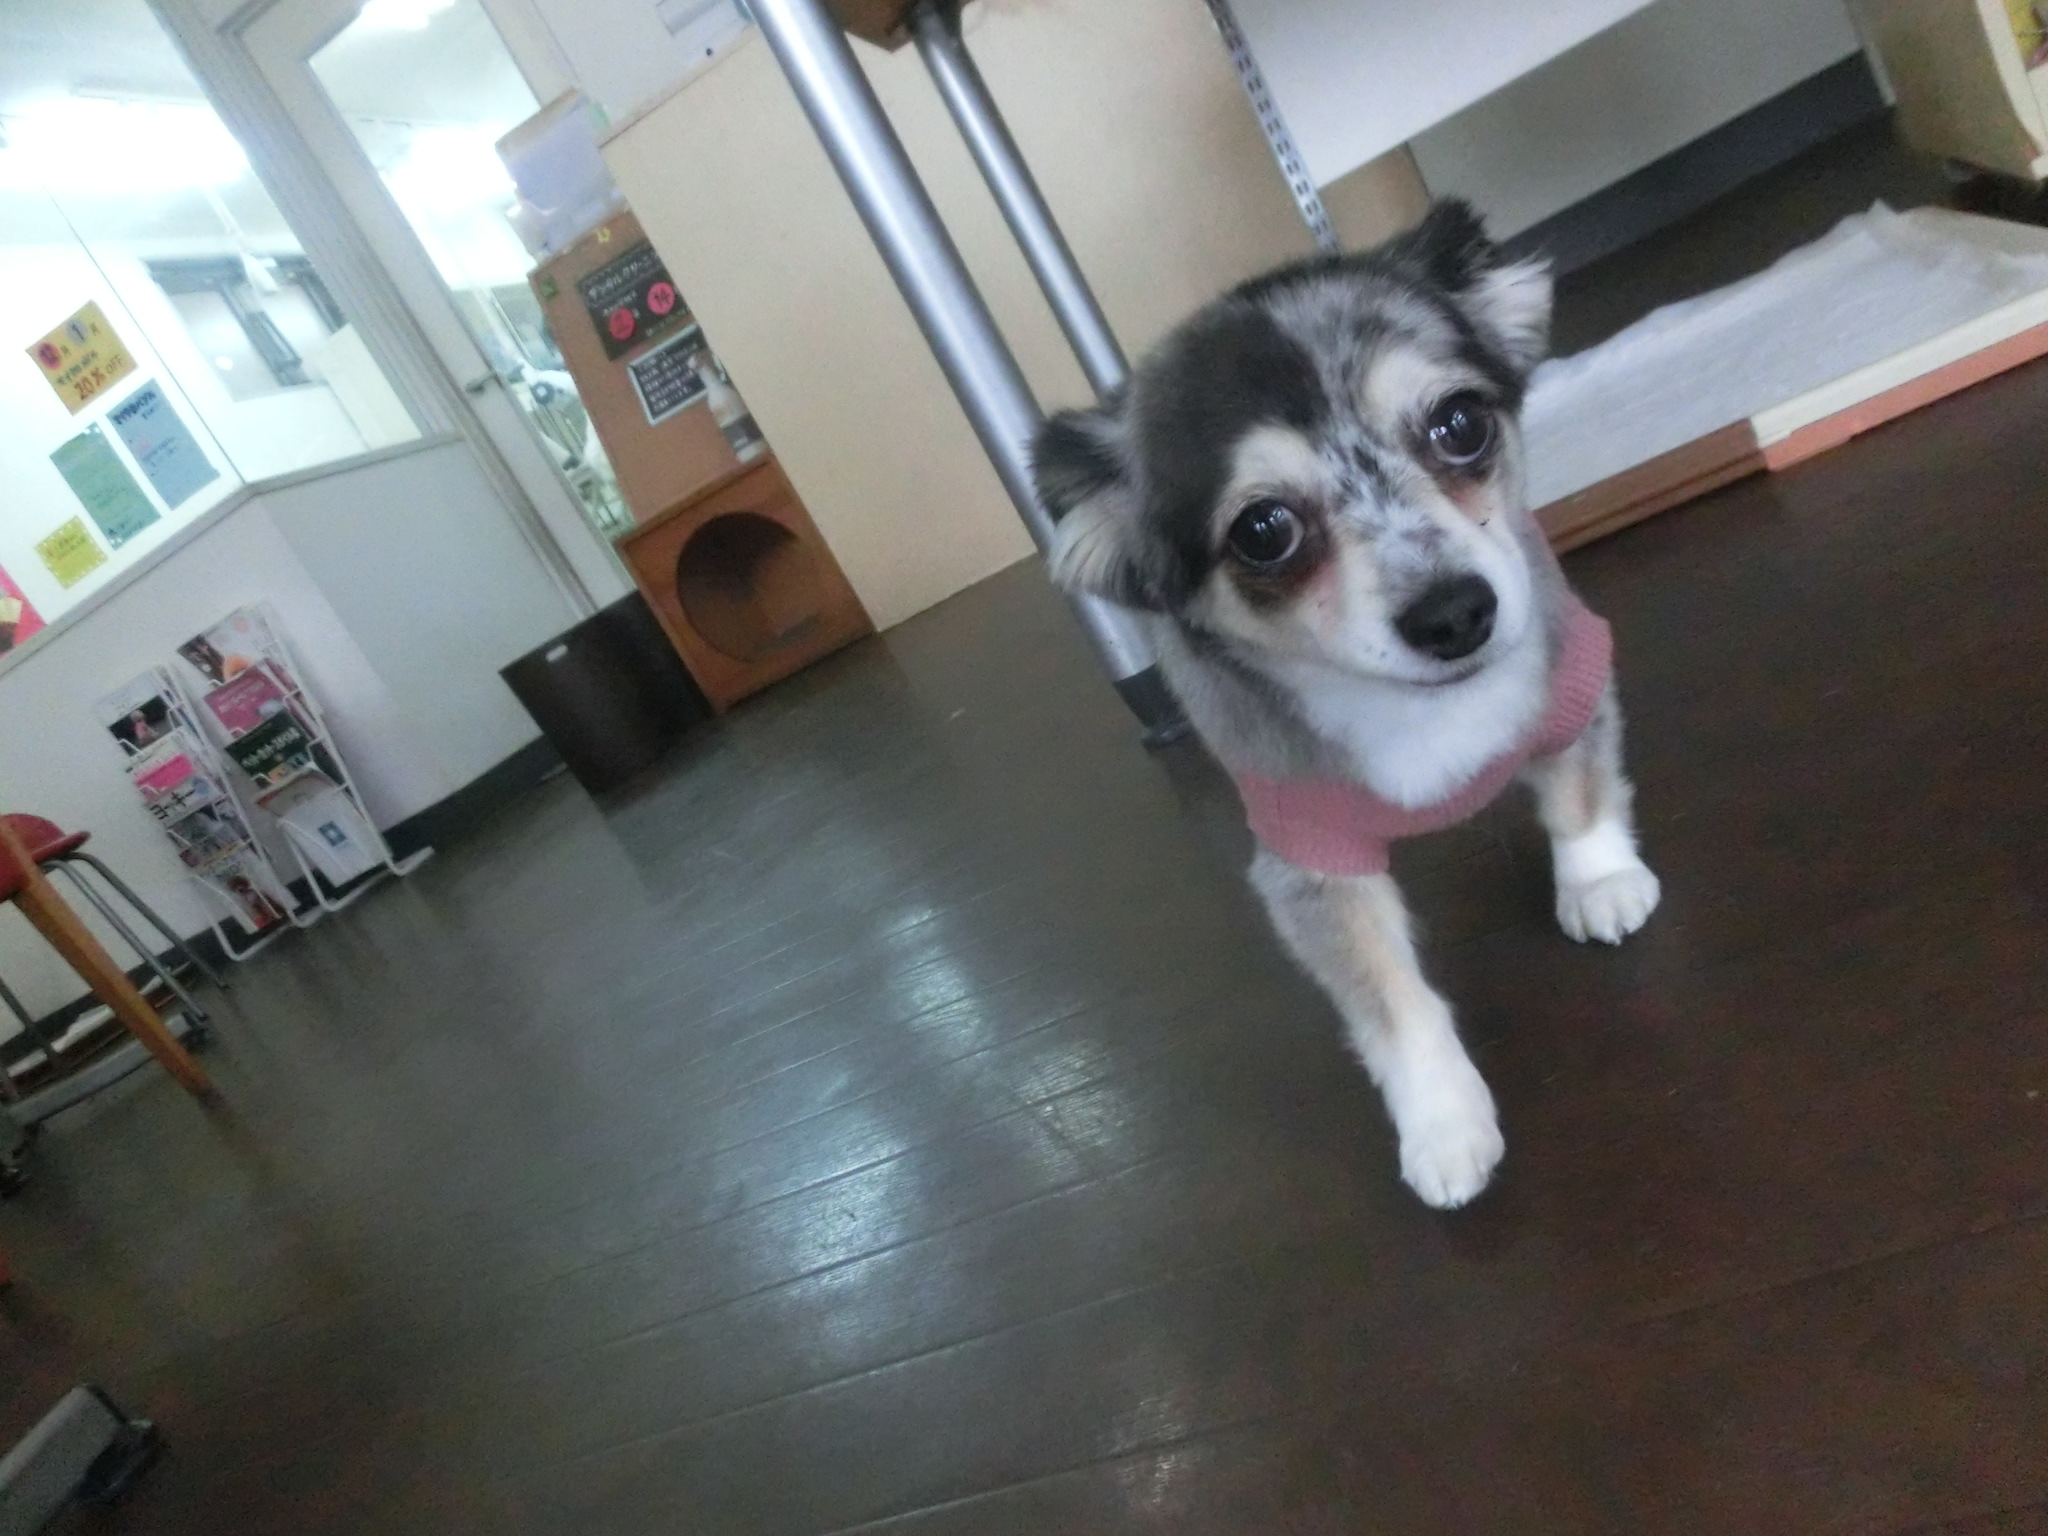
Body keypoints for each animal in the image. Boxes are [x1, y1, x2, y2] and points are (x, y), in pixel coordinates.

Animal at [1031, 200, 1660, 1209]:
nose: (1456, 612)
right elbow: (1390, 1003)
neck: (1422, 713)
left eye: (1460, 423)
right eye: (1263, 530)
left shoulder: (1572, 673)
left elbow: (1579, 788)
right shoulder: (1308, 860)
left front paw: (1598, 880)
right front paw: (1444, 1123)